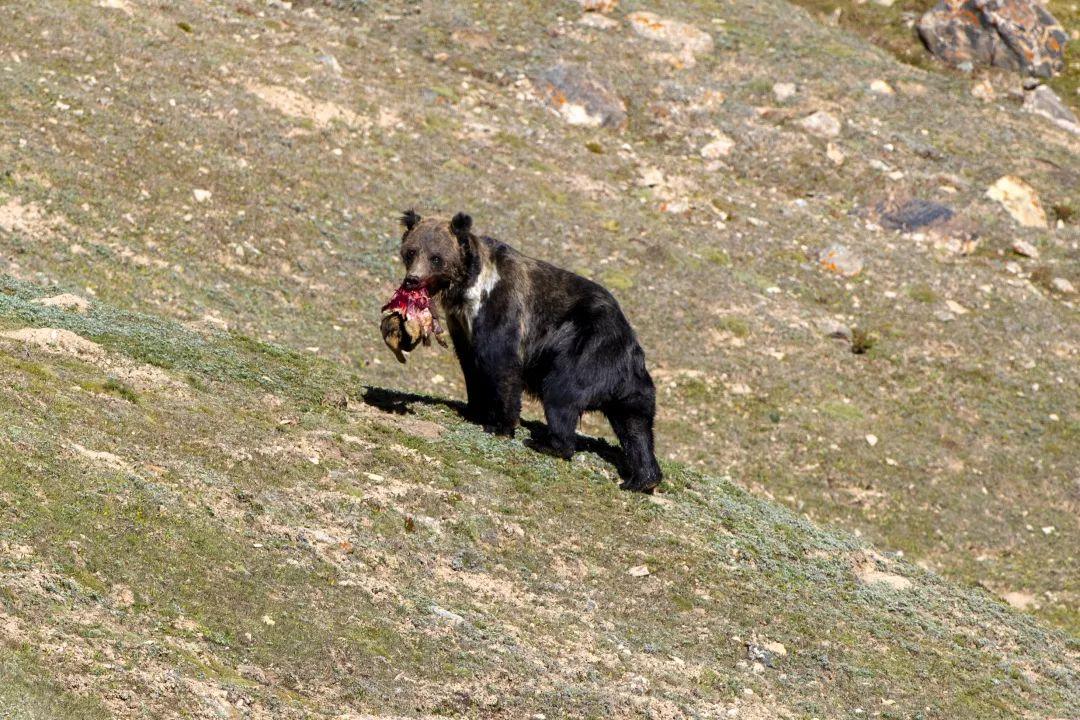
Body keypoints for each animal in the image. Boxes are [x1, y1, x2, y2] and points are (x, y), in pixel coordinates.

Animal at [395, 209, 662, 492]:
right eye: (411, 252)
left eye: (436, 257)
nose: (412, 280)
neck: (468, 288)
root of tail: (630, 346)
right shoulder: (461, 325)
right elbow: (470, 365)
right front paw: (474, 409)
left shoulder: (501, 308)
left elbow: (501, 363)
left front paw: (501, 424)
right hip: (631, 384)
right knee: (635, 425)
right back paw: (641, 478)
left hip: (586, 351)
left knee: (561, 393)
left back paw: (547, 443)